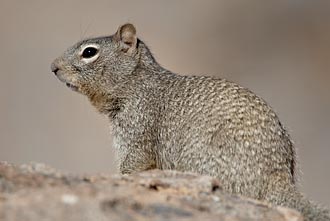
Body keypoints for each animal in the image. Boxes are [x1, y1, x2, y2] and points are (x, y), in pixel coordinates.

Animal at [51, 23, 330, 220]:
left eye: (89, 52)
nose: (53, 67)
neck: (136, 83)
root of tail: (278, 176)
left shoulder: (138, 129)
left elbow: (133, 163)